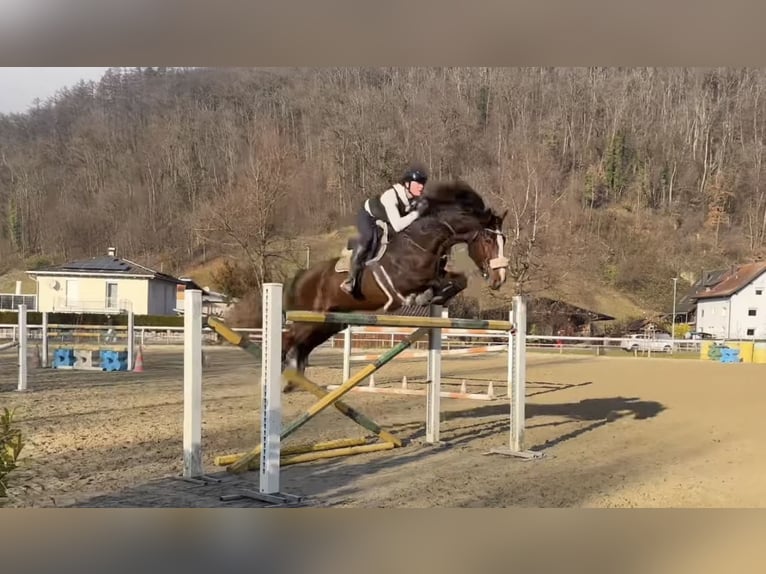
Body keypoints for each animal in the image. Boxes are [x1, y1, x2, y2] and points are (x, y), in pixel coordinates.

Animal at [280, 179, 509, 390]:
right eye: (488, 240)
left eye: (503, 240)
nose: (499, 279)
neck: (421, 242)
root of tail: (300, 276)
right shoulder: (405, 282)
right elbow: (437, 282)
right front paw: (425, 296)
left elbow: (459, 279)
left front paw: (436, 297)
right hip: (308, 319)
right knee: (288, 340)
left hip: (326, 324)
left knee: (301, 345)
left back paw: (292, 382)